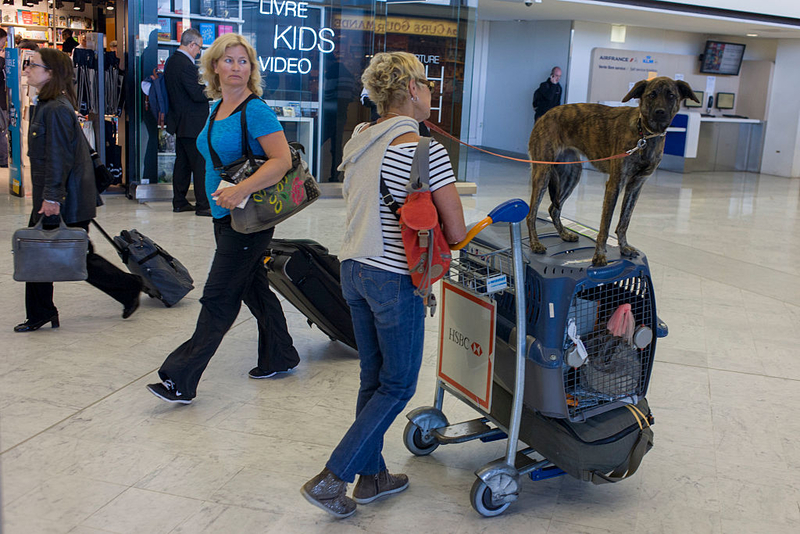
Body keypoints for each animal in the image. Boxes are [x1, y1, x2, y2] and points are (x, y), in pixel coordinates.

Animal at [528, 77, 696, 266]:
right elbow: (605, 225)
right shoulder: (615, 184)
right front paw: (600, 255)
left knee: (553, 209)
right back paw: (535, 243)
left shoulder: (636, 186)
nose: (660, 112)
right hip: (543, 173)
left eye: (671, 95)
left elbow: (624, 221)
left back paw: (564, 234)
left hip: (572, 175)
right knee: (531, 214)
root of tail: (544, 115)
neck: (645, 135)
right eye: (651, 95)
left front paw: (624, 247)